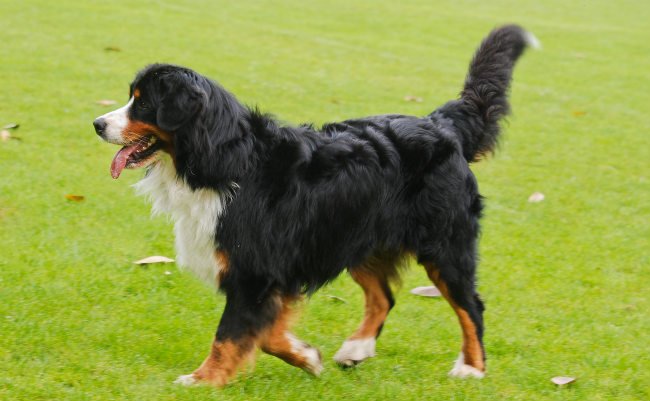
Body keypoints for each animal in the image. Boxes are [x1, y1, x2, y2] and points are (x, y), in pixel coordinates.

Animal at [92, 24, 536, 384]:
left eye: (143, 103)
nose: (97, 124)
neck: (224, 160)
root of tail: (441, 124)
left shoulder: (254, 269)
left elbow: (231, 334)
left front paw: (204, 379)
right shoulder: (274, 270)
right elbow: (266, 334)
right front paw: (307, 357)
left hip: (443, 244)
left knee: (470, 306)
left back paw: (471, 367)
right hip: (356, 235)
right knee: (383, 297)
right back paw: (356, 349)